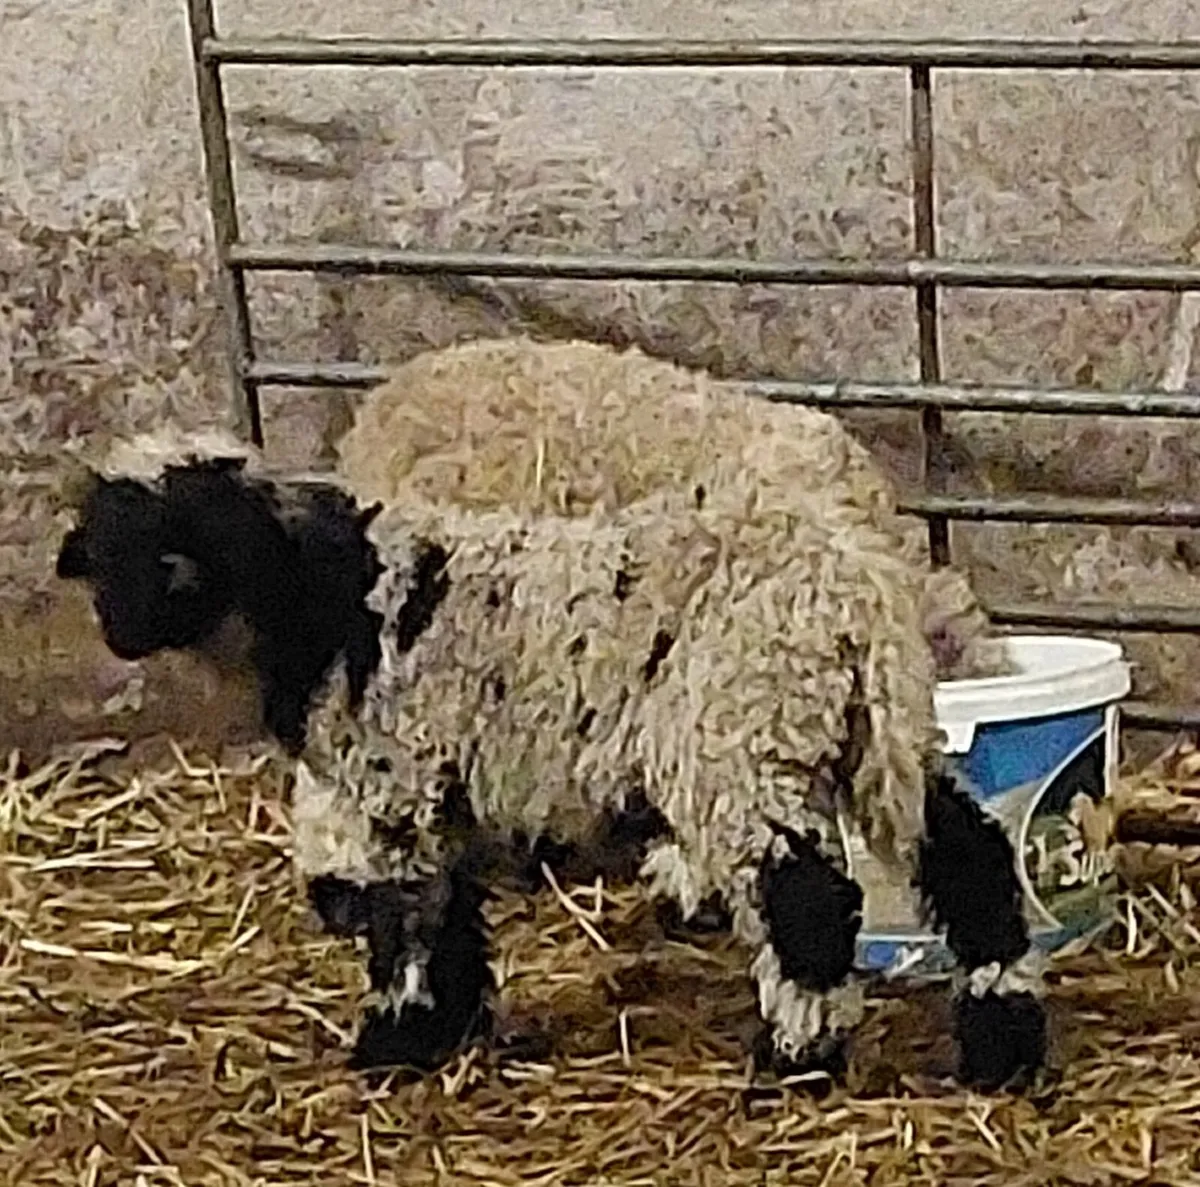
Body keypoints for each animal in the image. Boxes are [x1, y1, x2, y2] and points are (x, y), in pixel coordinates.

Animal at [54, 427, 1049, 1093]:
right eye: (107, 548)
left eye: (180, 546)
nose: (121, 629)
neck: (322, 596)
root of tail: (854, 594)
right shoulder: (441, 788)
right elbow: (451, 915)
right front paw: (449, 1027)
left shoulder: (396, 781)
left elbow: (404, 919)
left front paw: (394, 1042)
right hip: (868, 737)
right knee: (969, 860)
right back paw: (1002, 1040)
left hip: (740, 747)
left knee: (808, 903)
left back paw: (795, 1055)